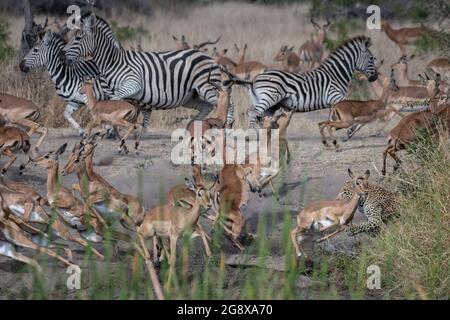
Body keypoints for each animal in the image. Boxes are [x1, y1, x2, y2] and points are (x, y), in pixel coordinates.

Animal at [62, 12, 232, 130]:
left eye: (78, 39)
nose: (63, 56)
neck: (112, 62)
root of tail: (210, 57)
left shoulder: (133, 84)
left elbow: (116, 102)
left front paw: (110, 127)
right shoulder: (110, 92)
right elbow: (111, 104)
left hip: (206, 87)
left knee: (227, 103)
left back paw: (227, 125)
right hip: (191, 96)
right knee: (207, 106)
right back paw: (195, 124)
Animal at [244, 35, 378, 126]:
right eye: (371, 58)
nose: (376, 77)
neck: (336, 74)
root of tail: (254, 80)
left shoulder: (332, 103)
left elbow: (333, 119)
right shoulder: (335, 96)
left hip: (265, 103)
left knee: (258, 116)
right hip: (269, 97)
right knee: (253, 113)